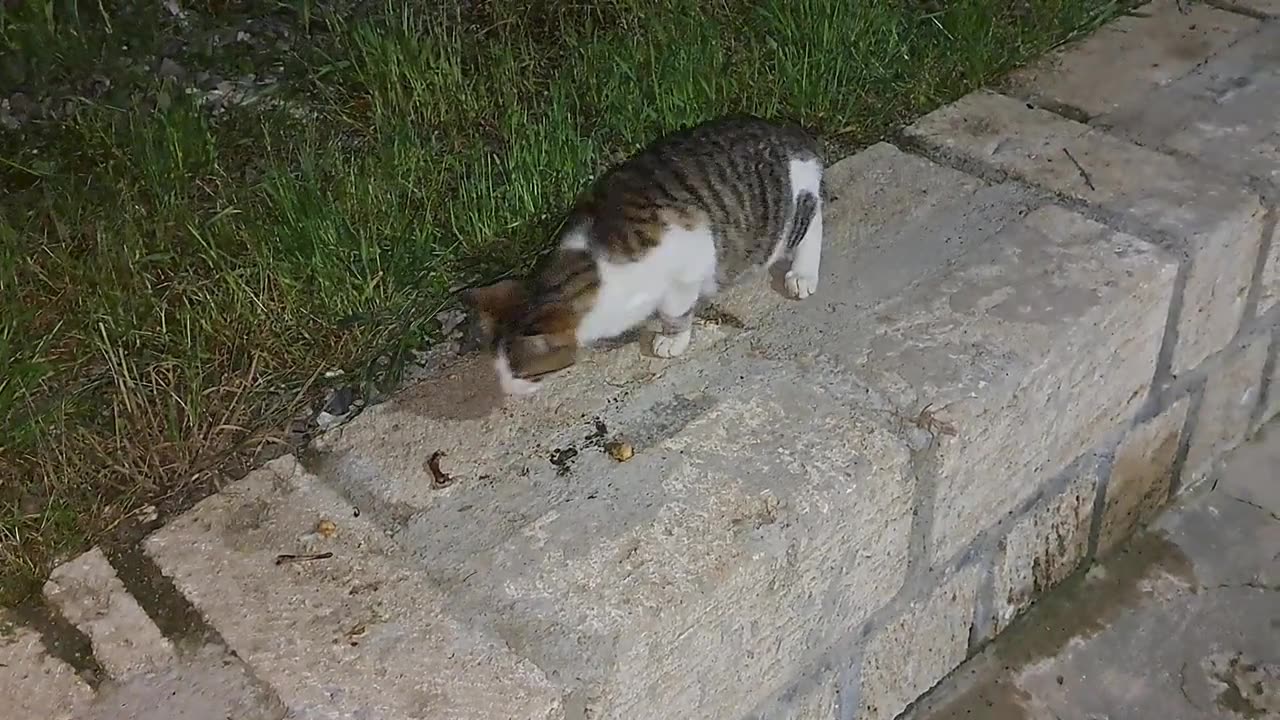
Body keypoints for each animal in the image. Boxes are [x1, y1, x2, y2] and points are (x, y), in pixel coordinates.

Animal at [465, 113, 824, 392]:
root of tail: (786, 130)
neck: (593, 266)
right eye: (497, 367)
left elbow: (675, 310)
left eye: (518, 371)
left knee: (813, 218)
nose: (505, 388)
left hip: (789, 211)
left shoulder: (689, 261)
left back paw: (803, 272)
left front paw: (672, 338)